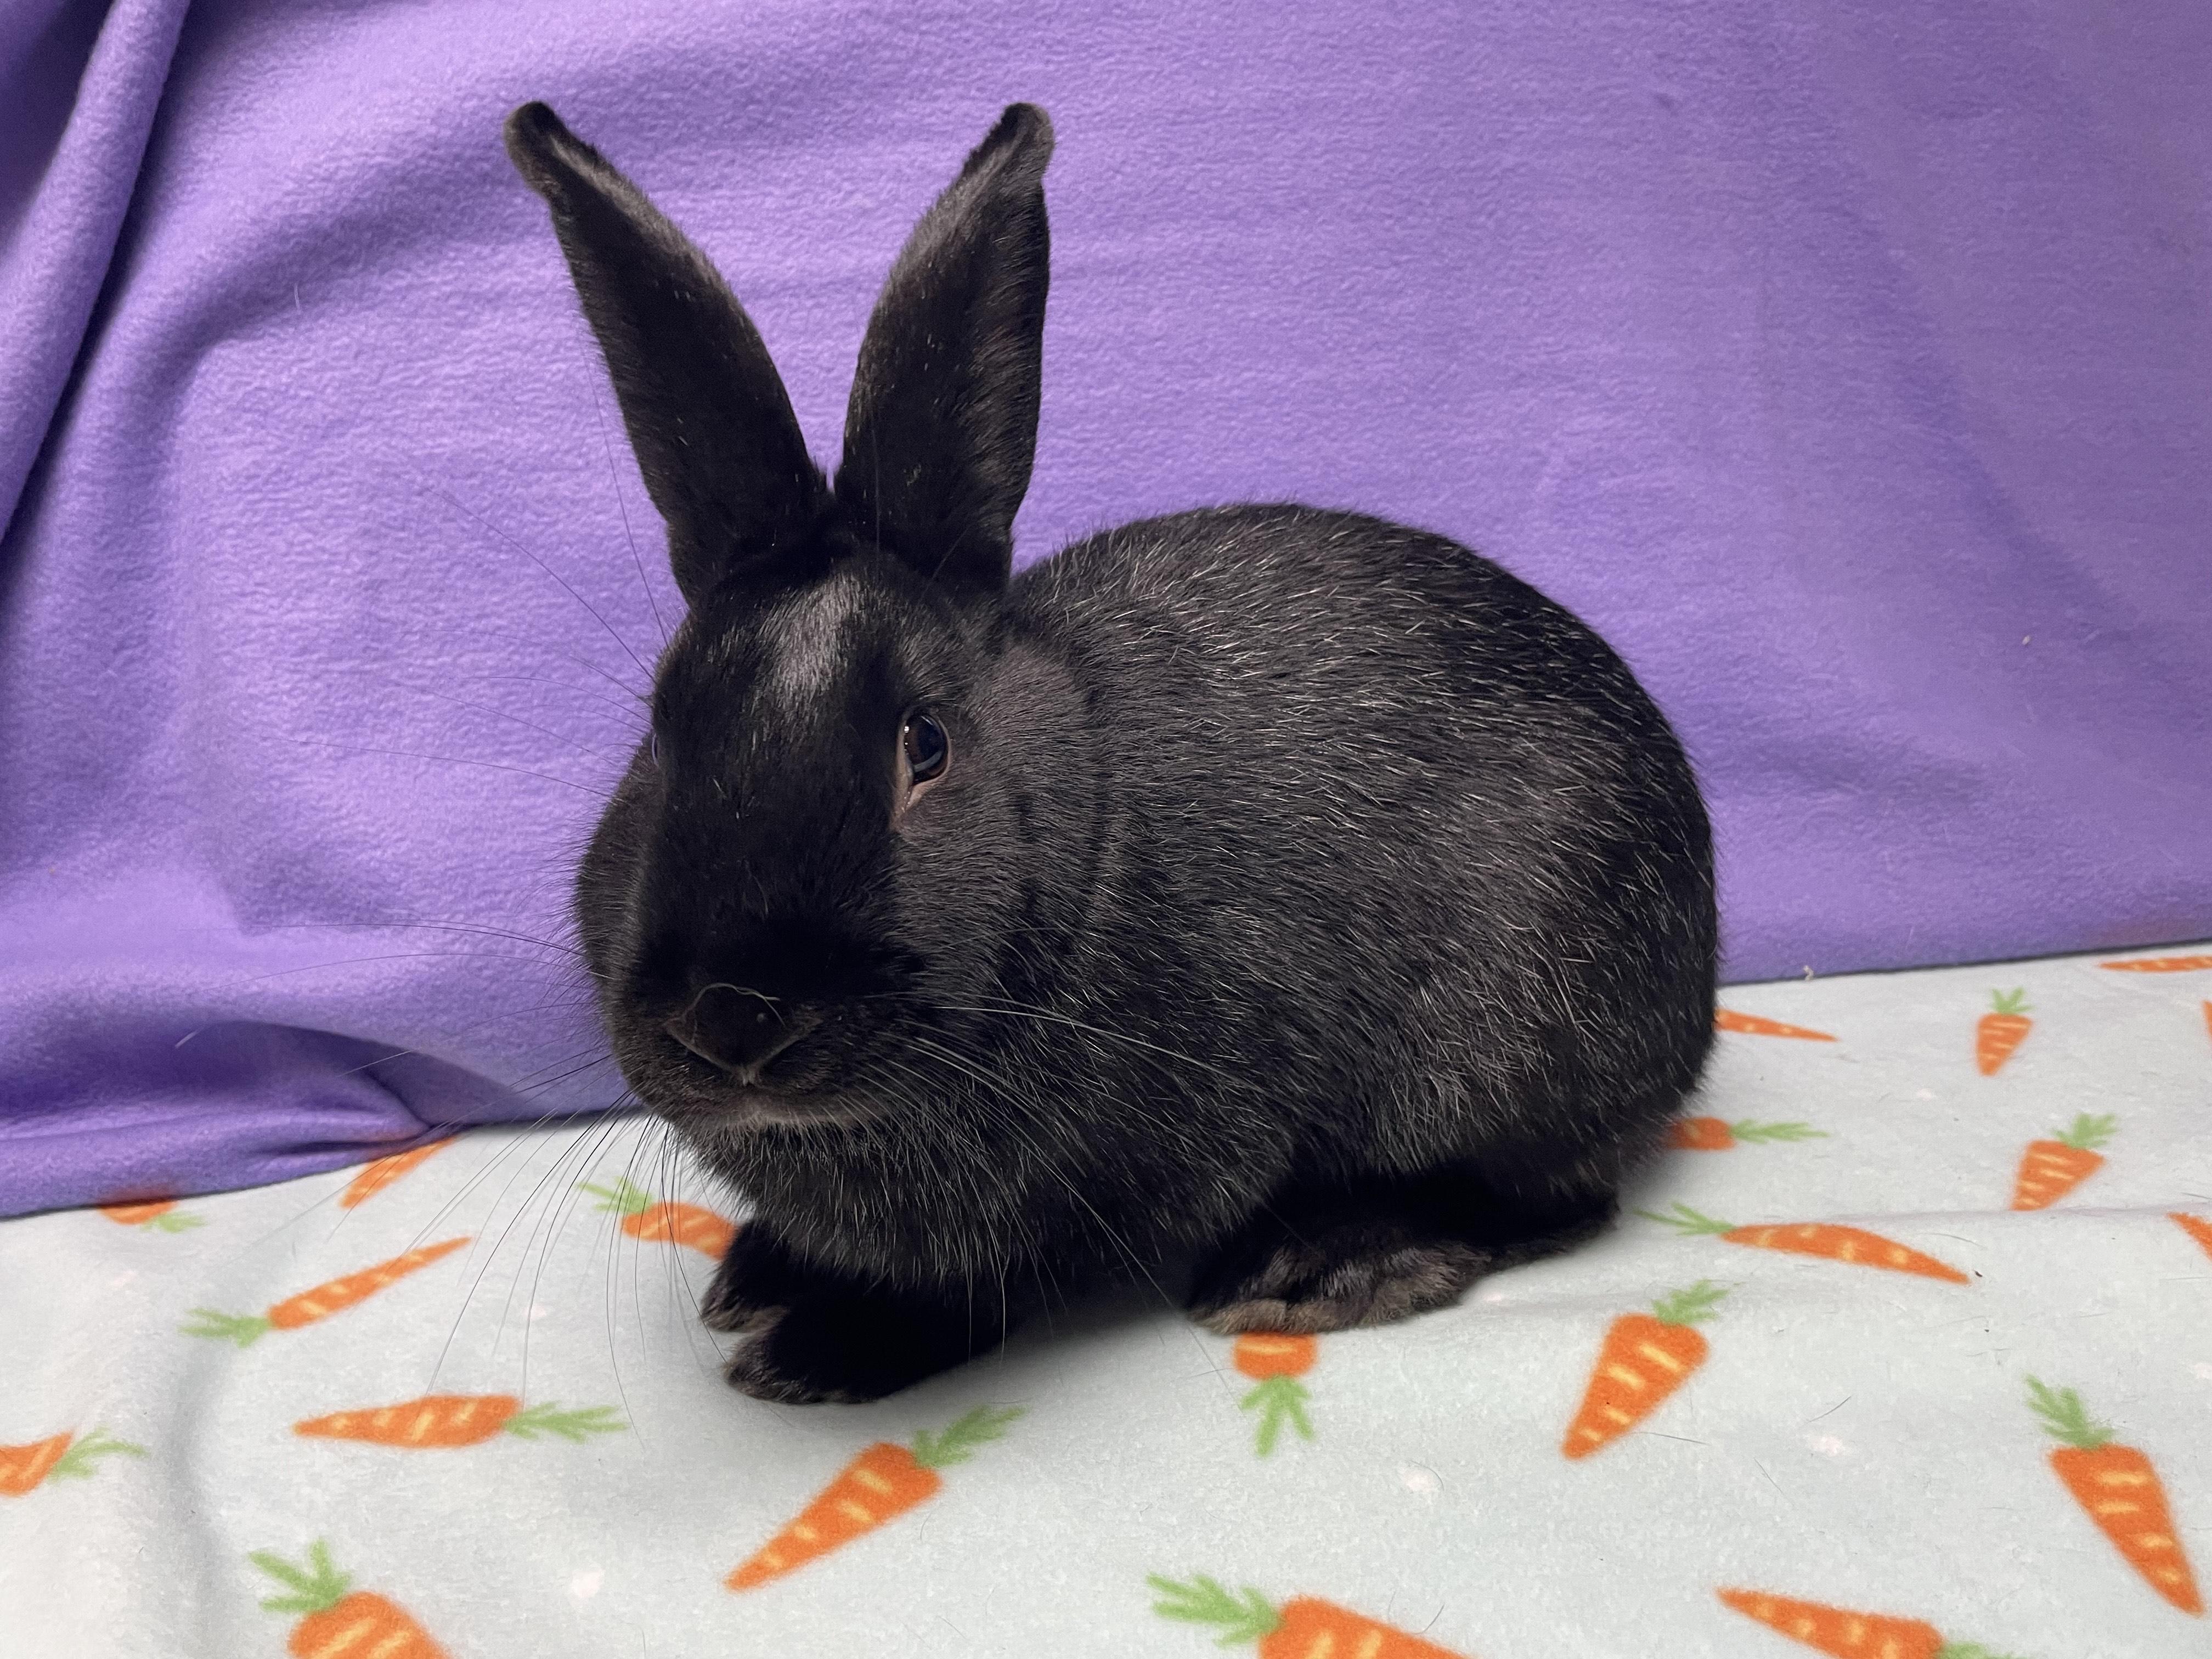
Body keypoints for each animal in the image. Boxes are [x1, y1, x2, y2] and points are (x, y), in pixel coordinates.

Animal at [504, 100, 1717, 1404]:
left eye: (925, 746)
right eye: (659, 731)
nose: (732, 1024)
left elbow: (987, 1288)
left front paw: (821, 1346)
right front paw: (763, 1272)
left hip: (1517, 1045)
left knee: (1549, 1200)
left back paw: (1323, 1262)